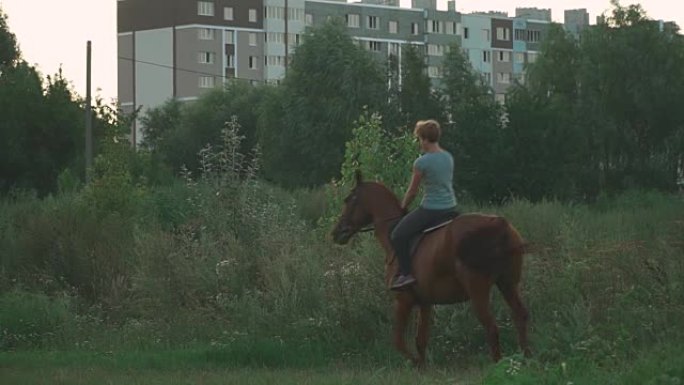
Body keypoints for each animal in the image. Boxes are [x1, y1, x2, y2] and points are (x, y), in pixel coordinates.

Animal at [332, 172, 528, 366]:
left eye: (348, 199)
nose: (336, 232)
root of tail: (498, 223)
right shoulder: (425, 302)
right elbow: (421, 340)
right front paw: (424, 367)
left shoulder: (403, 300)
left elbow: (398, 342)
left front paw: (417, 364)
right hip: (508, 284)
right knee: (520, 316)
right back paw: (526, 358)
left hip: (478, 291)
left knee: (492, 328)